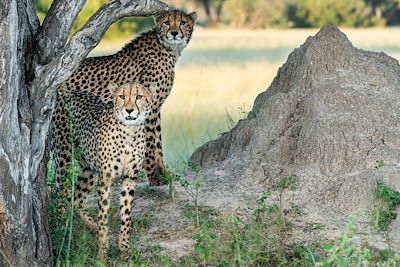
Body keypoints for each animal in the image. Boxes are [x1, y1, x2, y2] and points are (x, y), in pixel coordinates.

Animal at [53, 9, 197, 188]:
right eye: (167, 23)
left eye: (183, 22)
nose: (175, 33)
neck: (168, 48)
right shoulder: (149, 111)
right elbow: (151, 145)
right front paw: (154, 177)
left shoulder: (154, 109)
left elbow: (158, 144)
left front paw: (163, 175)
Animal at [59, 82, 153, 262]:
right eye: (122, 96)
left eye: (139, 97)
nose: (129, 110)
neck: (129, 132)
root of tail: (68, 91)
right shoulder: (105, 179)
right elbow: (103, 216)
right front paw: (102, 253)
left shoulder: (130, 178)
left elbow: (126, 215)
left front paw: (124, 249)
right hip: (63, 161)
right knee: (60, 197)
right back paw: (58, 229)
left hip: (88, 169)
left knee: (76, 199)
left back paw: (91, 226)